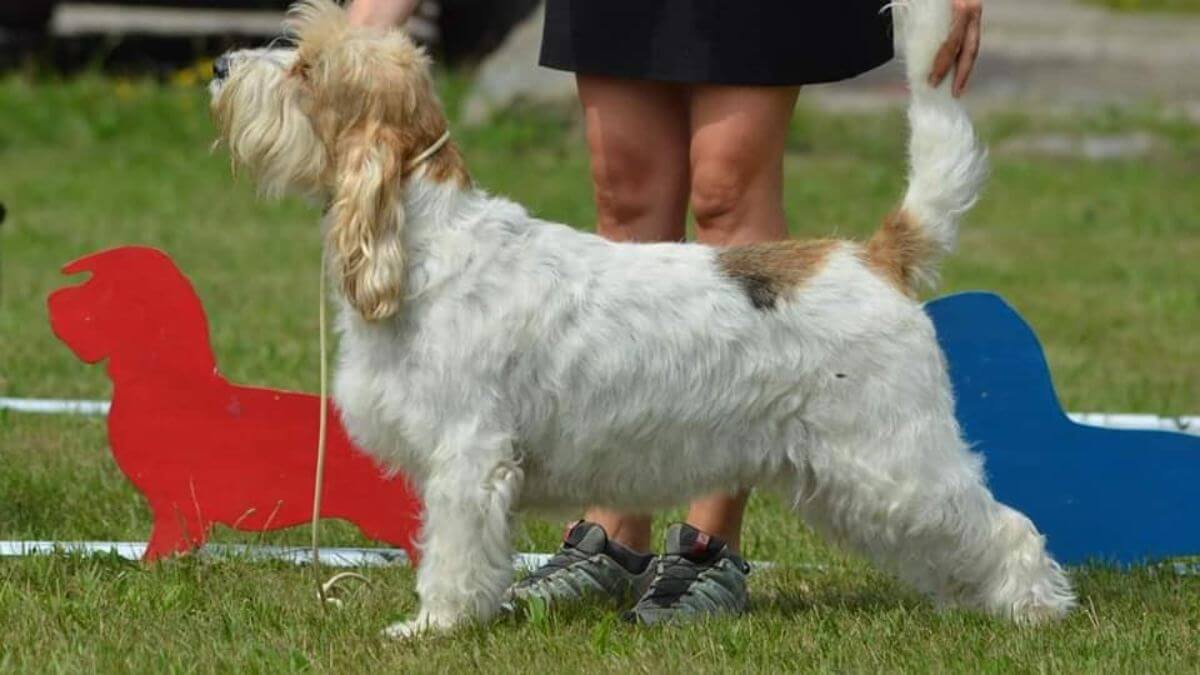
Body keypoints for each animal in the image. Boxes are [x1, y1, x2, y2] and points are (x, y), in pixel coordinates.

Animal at [211, 0, 1075, 634]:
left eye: (307, 69)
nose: (219, 66)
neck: (426, 239)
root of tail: (874, 254)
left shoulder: (469, 455)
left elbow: (451, 555)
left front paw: (434, 626)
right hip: (851, 474)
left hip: (896, 454)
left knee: (1005, 522)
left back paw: (1035, 607)